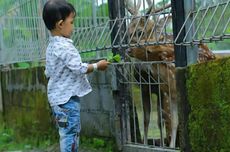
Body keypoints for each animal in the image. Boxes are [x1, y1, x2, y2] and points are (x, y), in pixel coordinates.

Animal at [124, 0, 216, 148]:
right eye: (127, 30)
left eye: (140, 32)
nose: (128, 50)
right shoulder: (149, 88)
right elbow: (149, 119)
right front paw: (148, 144)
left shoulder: (166, 92)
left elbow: (167, 120)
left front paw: (169, 145)